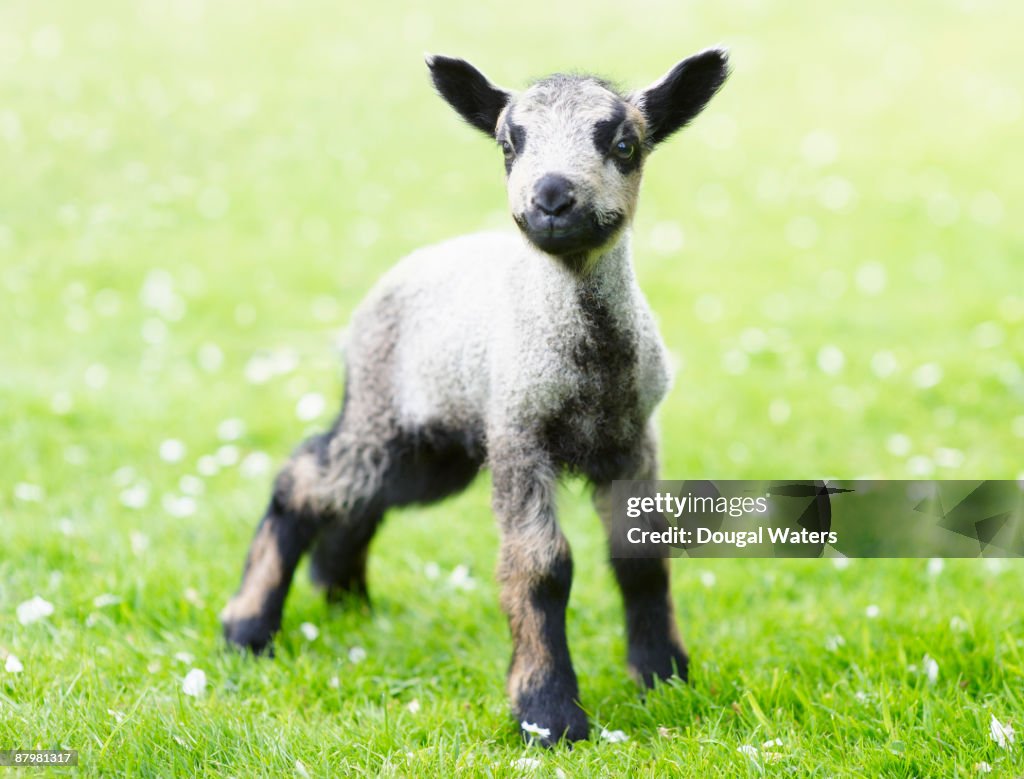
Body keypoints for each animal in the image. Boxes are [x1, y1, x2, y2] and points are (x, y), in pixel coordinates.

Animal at [220, 47, 729, 741]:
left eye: (625, 145)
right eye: (509, 146)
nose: (552, 196)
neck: (589, 366)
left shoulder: (634, 437)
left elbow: (642, 555)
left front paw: (662, 675)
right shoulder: (518, 435)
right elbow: (540, 566)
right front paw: (548, 714)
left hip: (436, 453)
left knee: (362, 498)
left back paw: (344, 597)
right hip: (386, 410)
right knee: (306, 478)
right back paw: (247, 626)